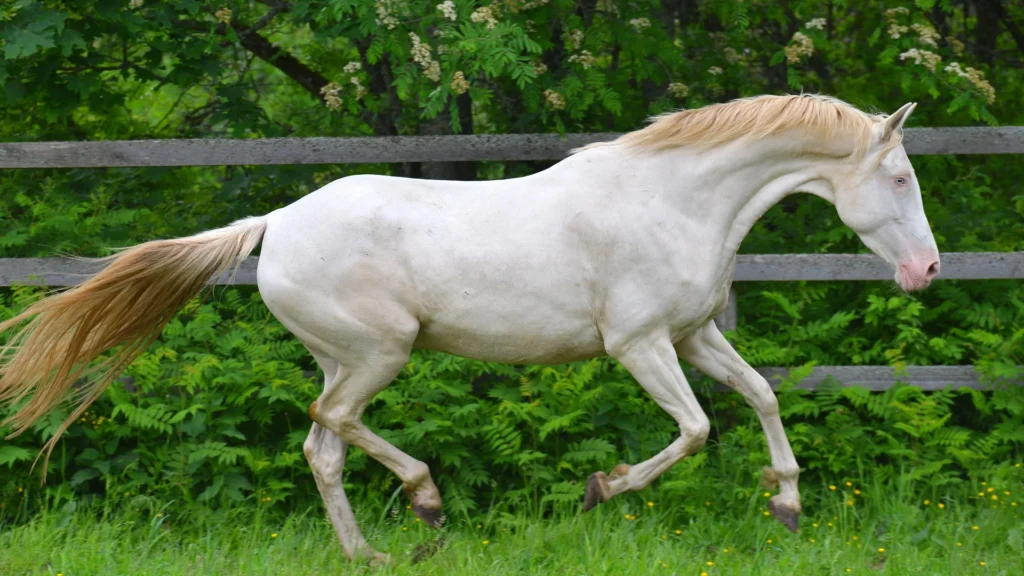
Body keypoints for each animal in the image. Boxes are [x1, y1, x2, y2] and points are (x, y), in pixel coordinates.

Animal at [0, 94, 939, 562]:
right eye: (899, 178)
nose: (928, 272)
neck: (674, 200)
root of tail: (277, 223)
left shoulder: (694, 335)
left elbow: (762, 397)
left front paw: (786, 505)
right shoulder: (640, 345)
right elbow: (699, 429)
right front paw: (601, 488)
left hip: (345, 358)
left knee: (322, 447)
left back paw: (369, 554)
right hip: (378, 353)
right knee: (330, 423)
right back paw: (426, 501)